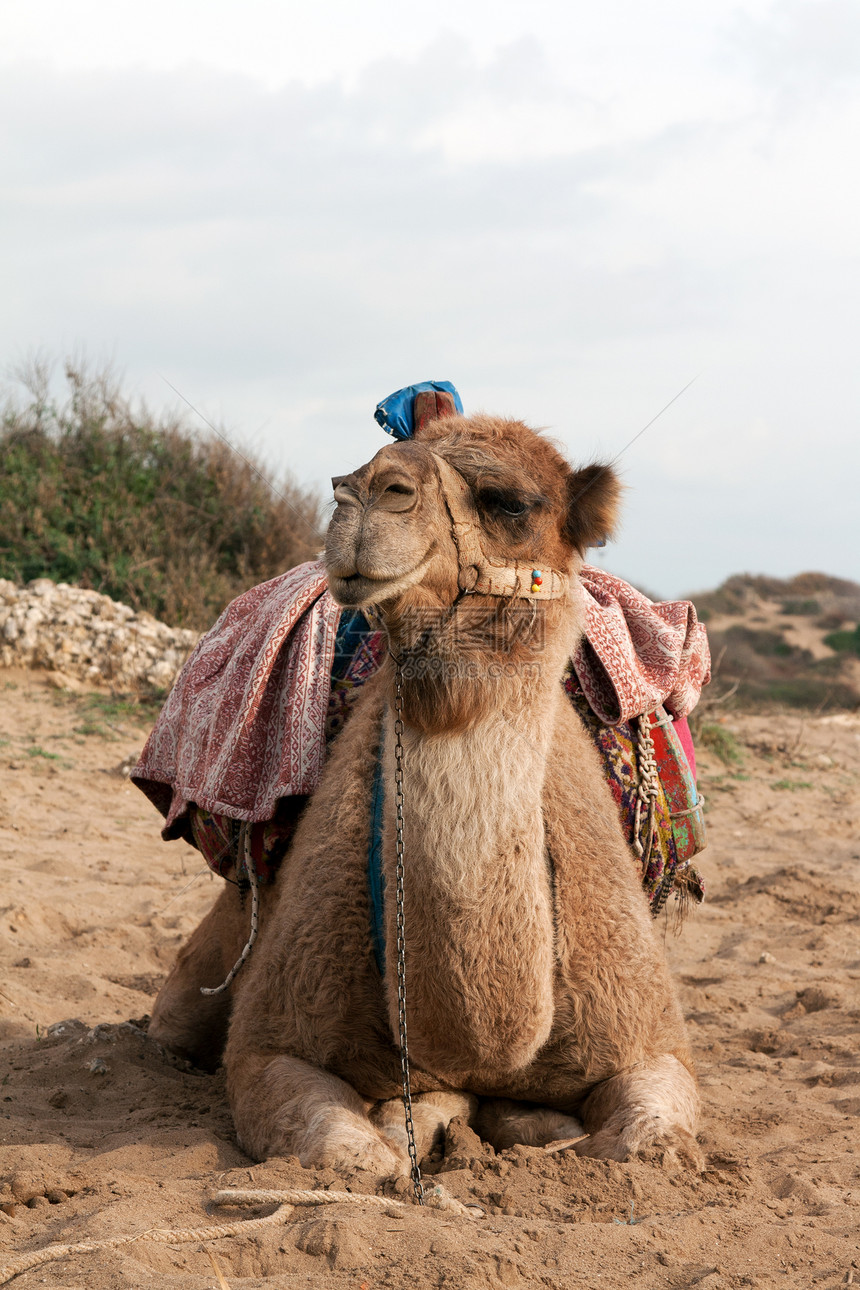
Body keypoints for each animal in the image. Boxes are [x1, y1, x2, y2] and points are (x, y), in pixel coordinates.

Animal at [148, 410, 701, 1181]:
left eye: (510, 502)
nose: (366, 490)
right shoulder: (269, 1042)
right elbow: (354, 1157)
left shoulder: (651, 1039)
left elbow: (643, 1145)